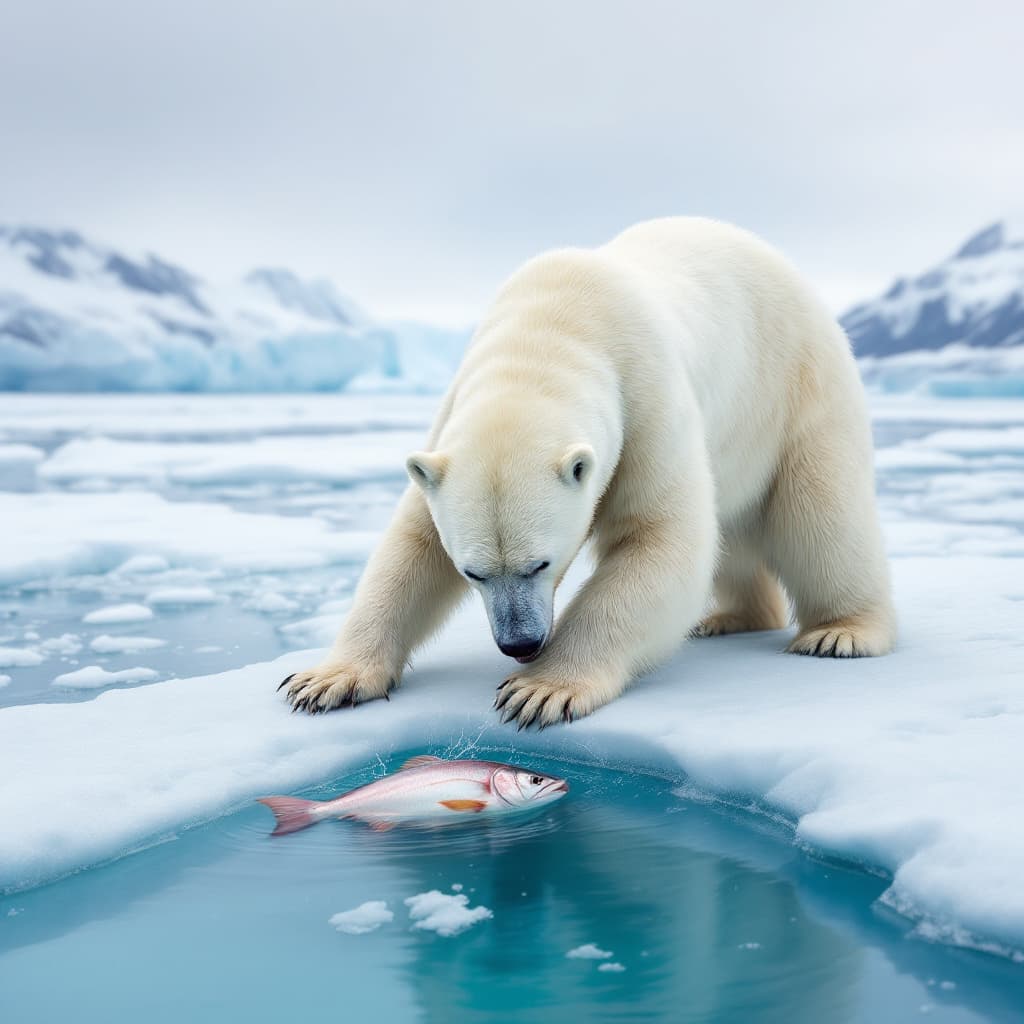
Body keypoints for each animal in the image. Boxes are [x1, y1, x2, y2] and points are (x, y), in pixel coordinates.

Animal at [282, 217, 895, 728]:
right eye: (473, 571)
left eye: (540, 562)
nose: (519, 643)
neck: (550, 328)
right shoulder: (449, 424)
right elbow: (411, 548)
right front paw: (325, 681)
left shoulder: (645, 400)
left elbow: (660, 539)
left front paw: (540, 690)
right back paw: (728, 617)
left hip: (796, 383)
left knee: (821, 514)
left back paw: (840, 632)